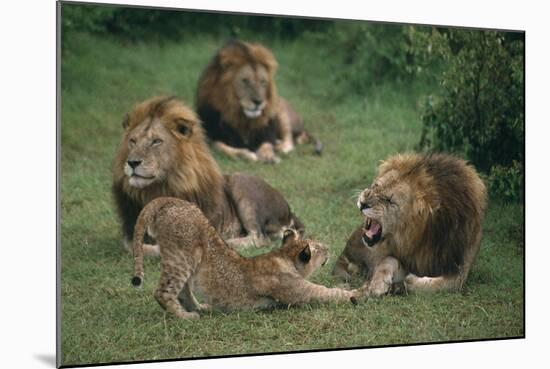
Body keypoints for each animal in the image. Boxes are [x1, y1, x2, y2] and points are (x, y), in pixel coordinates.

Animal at [132, 197, 356, 318]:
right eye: (318, 248)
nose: (328, 248)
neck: (283, 257)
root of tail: (167, 200)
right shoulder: (296, 291)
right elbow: (325, 293)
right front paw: (354, 294)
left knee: (183, 291)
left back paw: (201, 308)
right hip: (181, 254)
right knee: (163, 292)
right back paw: (185, 317)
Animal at [336, 152, 488, 296]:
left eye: (389, 200)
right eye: (375, 186)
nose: (363, 203)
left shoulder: (461, 264)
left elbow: (452, 283)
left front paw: (409, 282)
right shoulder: (404, 256)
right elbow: (389, 260)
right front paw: (379, 283)